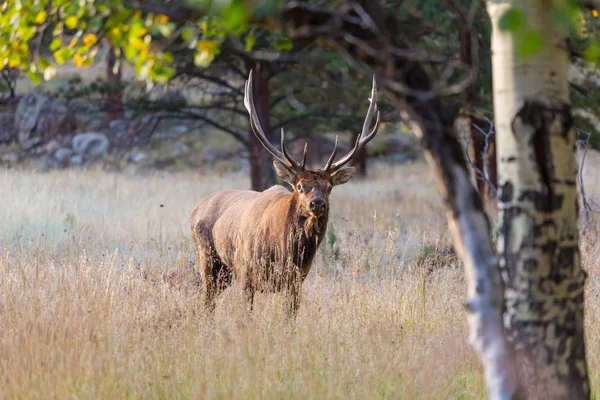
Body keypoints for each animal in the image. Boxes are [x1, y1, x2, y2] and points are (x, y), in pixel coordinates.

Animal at [190, 73, 382, 314]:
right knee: (207, 300)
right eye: (300, 187)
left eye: (329, 188)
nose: (317, 204)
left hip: (225, 271)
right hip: (207, 258)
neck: (284, 251)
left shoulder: (297, 280)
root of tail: (196, 209)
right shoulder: (247, 273)